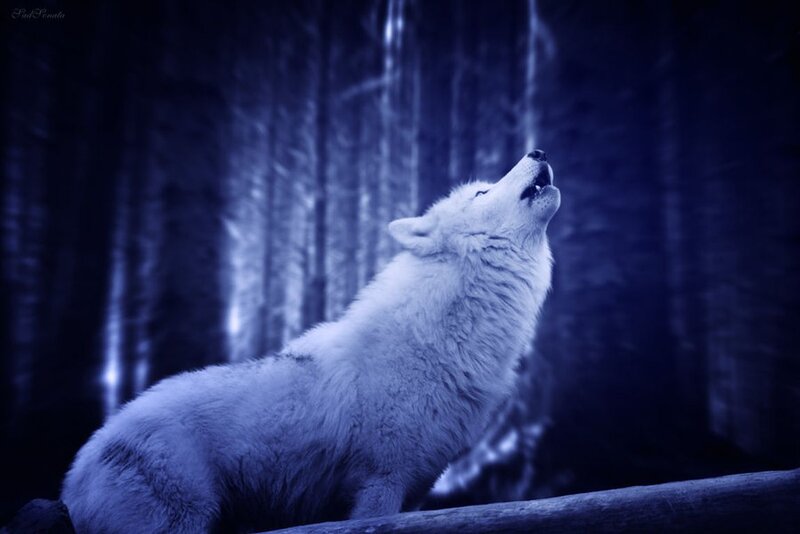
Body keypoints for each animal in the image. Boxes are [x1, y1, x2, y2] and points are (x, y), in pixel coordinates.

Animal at [61, 152, 560, 533]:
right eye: (481, 193)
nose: (538, 151)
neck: (437, 337)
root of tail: (74, 477)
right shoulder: (381, 482)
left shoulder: (415, 490)